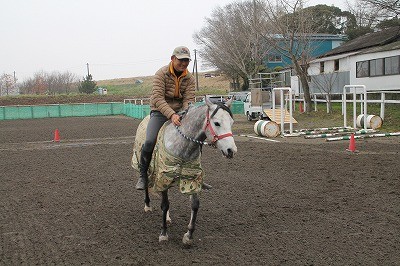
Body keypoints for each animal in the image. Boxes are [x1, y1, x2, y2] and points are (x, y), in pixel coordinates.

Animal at [131, 96, 238, 246]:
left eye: (231, 122)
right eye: (217, 123)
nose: (231, 151)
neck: (182, 146)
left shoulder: (191, 178)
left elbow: (195, 205)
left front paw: (189, 235)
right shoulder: (164, 175)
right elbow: (164, 204)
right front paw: (163, 234)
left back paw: (168, 217)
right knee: (146, 182)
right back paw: (147, 204)